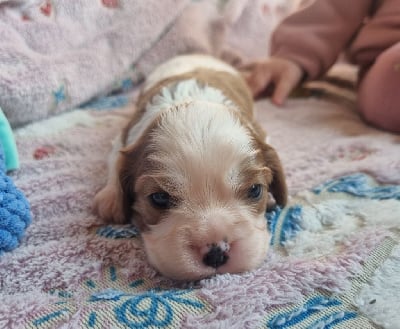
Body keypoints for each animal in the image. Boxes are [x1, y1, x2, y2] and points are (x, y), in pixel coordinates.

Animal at [93, 53, 288, 280]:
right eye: (159, 198)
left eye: (255, 190)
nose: (216, 253)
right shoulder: (125, 136)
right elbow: (115, 158)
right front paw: (110, 197)